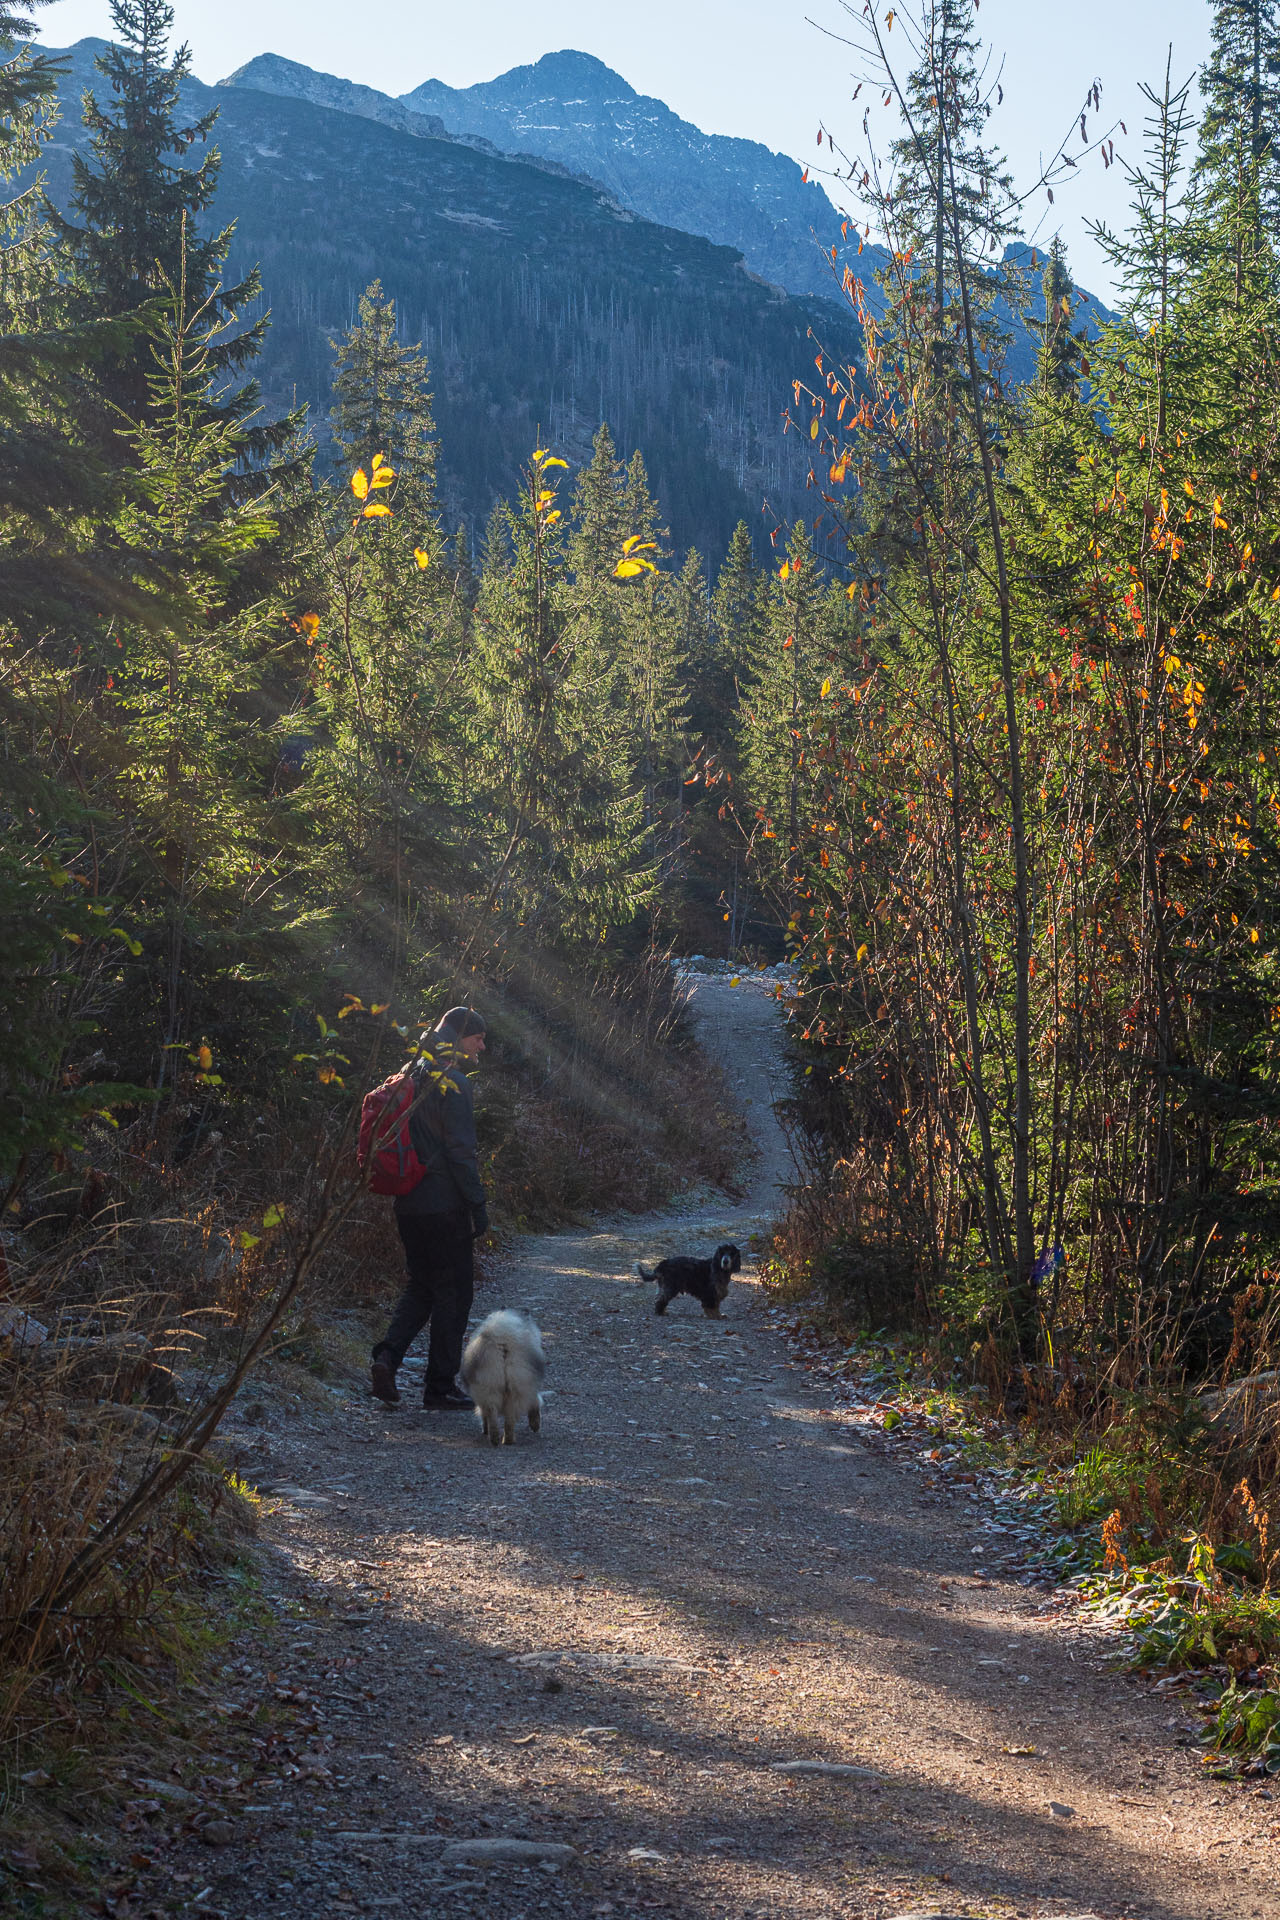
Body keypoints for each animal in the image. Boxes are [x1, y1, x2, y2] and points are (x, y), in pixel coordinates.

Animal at [460, 1313, 545, 1443]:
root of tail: (503, 1343)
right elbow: (535, 1402)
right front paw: (535, 1424)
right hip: (514, 1385)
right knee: (509, 1417)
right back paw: (507, 1439)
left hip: (489, 1386)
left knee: (492, 1412)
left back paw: (494, 1437)